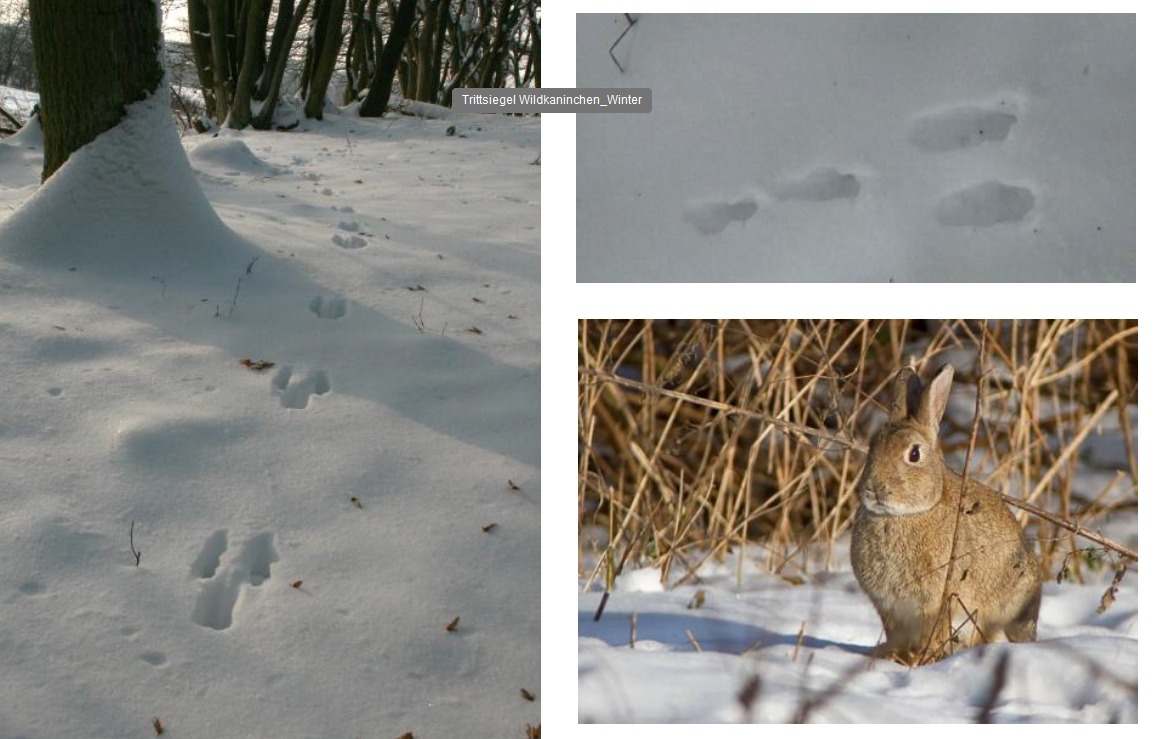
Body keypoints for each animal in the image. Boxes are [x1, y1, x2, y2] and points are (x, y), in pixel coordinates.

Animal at [851, 364, 1041, 663]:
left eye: (914, 454)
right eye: (871, 447)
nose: (874, 488)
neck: (901, 515)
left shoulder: (939, 604)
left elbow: (935, 633)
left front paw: (921, 659)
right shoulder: (891, 610)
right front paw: (892, 656)